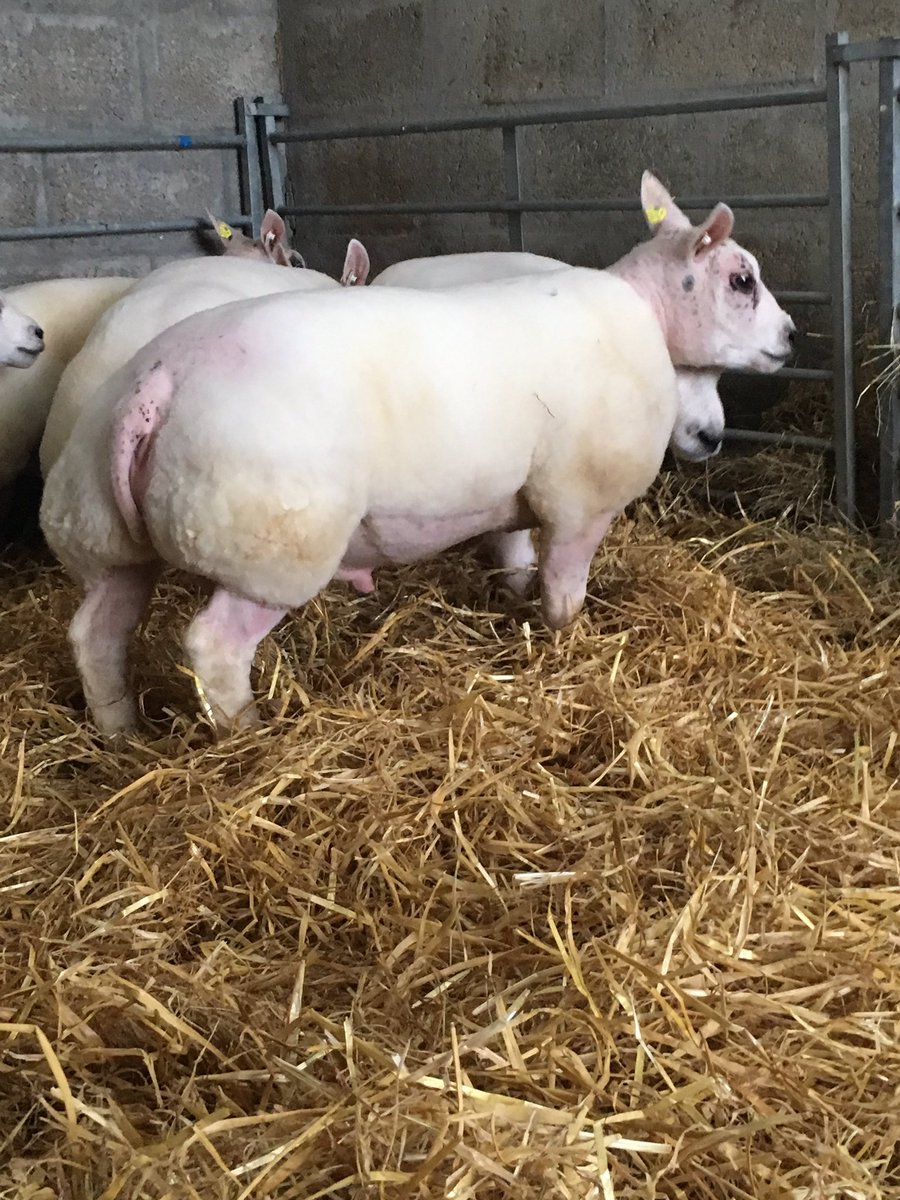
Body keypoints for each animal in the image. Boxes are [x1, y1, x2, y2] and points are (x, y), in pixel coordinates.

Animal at [40, 172, 794, 736]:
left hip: (105, 534)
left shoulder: (514, 495)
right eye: (742, 281)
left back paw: (120, 730)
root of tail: (159, 382)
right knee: (213, 648)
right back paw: (247, 733)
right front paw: (562, 644)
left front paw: (511, 606)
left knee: (94, 634)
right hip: (269, 547)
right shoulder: (580, 503)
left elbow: (515, 559)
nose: (790, 336)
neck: (646, 317)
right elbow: (563, 593)